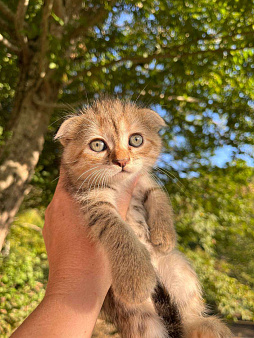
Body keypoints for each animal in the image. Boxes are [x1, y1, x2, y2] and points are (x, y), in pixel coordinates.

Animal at [55, 98, 232, 338]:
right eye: (97, 145)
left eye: (136, 139)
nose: (122, 161)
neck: (121, 185)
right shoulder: (91, 201)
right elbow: (118, 229)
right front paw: (135, 277)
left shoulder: (143, 180)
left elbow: (158, 195)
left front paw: (165, 234)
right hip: (137, 316)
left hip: (180, 271)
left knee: (189, 317)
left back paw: (208, 326)